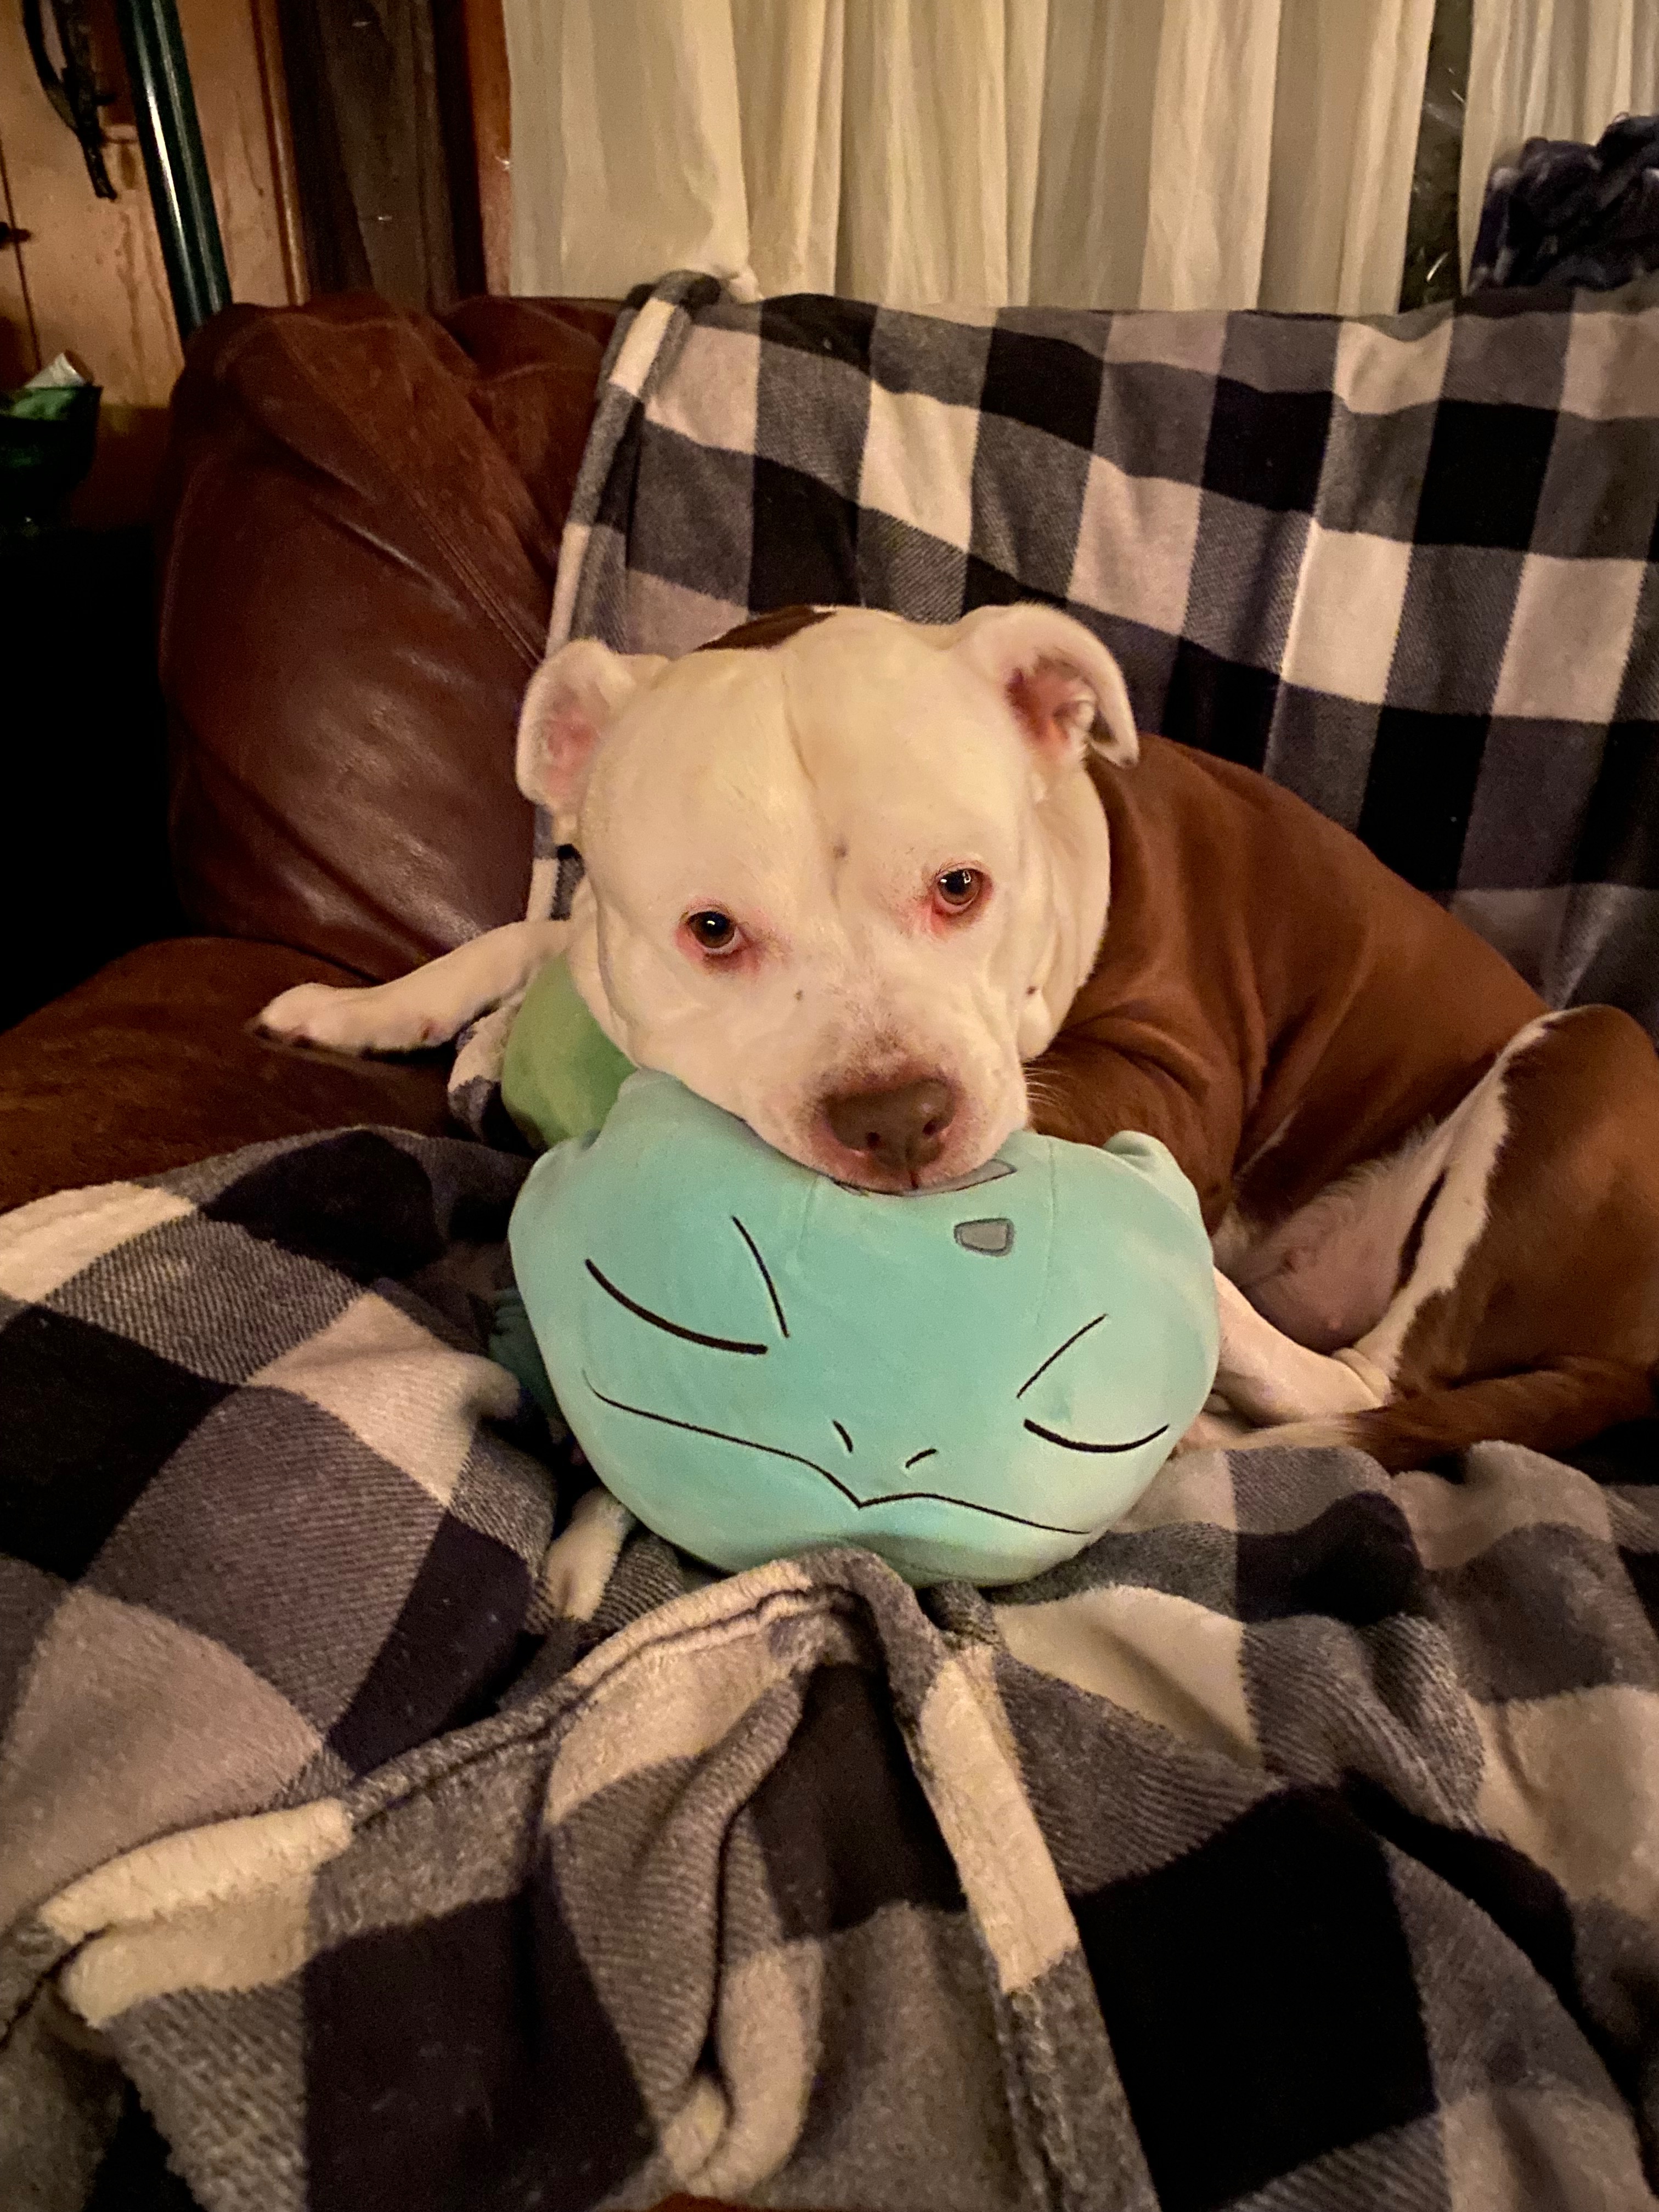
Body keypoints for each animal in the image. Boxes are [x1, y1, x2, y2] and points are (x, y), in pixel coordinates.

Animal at [259, 603, 1659, 1471]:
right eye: (711, 930)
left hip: (1592, 1058)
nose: (896, 1118)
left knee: (1367, 1385)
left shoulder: (1175, 1068)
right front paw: (387, 1009)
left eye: (960, 886)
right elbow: (532, 929)